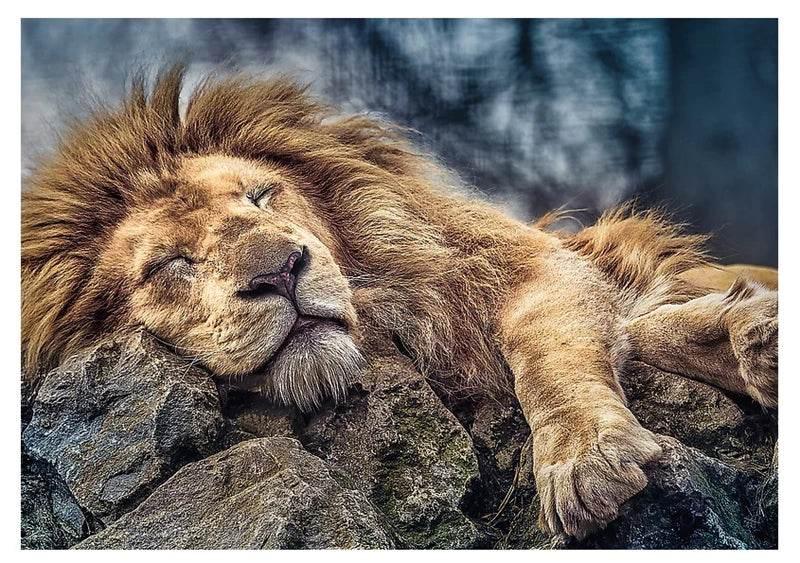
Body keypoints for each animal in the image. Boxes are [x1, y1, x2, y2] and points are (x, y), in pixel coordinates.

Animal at [21, 66, 778, 540]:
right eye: (169, 264)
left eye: (261, 196)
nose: (282, 271)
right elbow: (642, 327)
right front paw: (744, 335)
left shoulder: (532, 266)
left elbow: (548, 353)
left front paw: (585, 458)